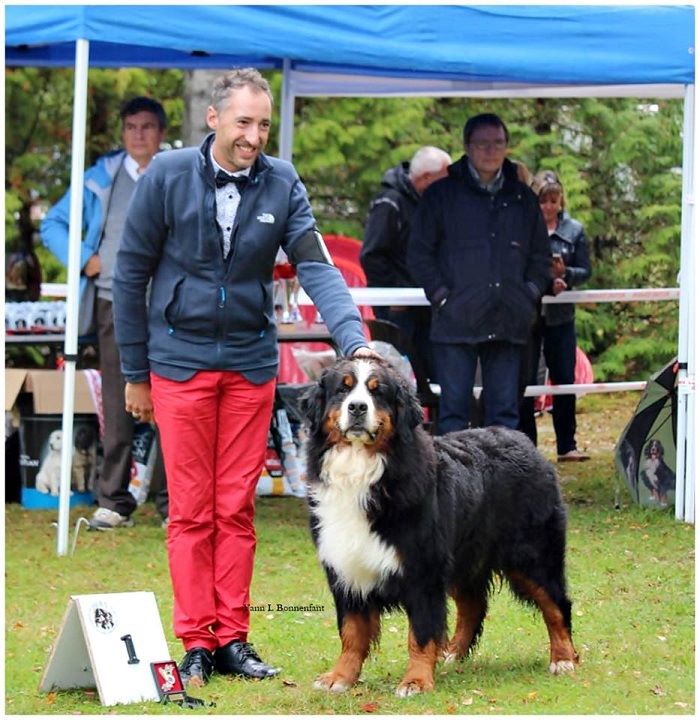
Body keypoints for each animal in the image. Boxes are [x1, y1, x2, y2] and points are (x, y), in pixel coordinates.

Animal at [300, 358, 580, 696]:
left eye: (377, 392)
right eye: (343, 389)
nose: (356, 407)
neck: (362, 472)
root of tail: (523, 441)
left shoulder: (423, 570)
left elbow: (421, 632)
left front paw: (417, 680)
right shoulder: (346, 568)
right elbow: (352, 632)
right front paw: (340, 677)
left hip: (533, 556)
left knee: (556, 604)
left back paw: (563, 658)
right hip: (466, 556)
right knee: (473, 605)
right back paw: (452, 654)